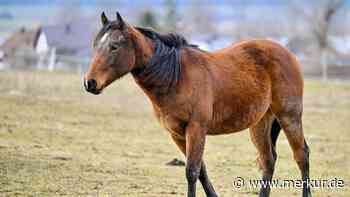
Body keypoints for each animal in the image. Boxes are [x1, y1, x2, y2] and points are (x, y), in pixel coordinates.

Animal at [84, 12, 312, 197]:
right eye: (95, 45)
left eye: (114, 46)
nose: (89, 82)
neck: (175, 76)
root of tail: (288, 53)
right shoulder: (177, 134)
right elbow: (200, 170)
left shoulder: (196, 128)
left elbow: (191, 172)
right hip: (259, 124)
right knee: (268, 161)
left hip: (289, 116)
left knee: (301, 155)